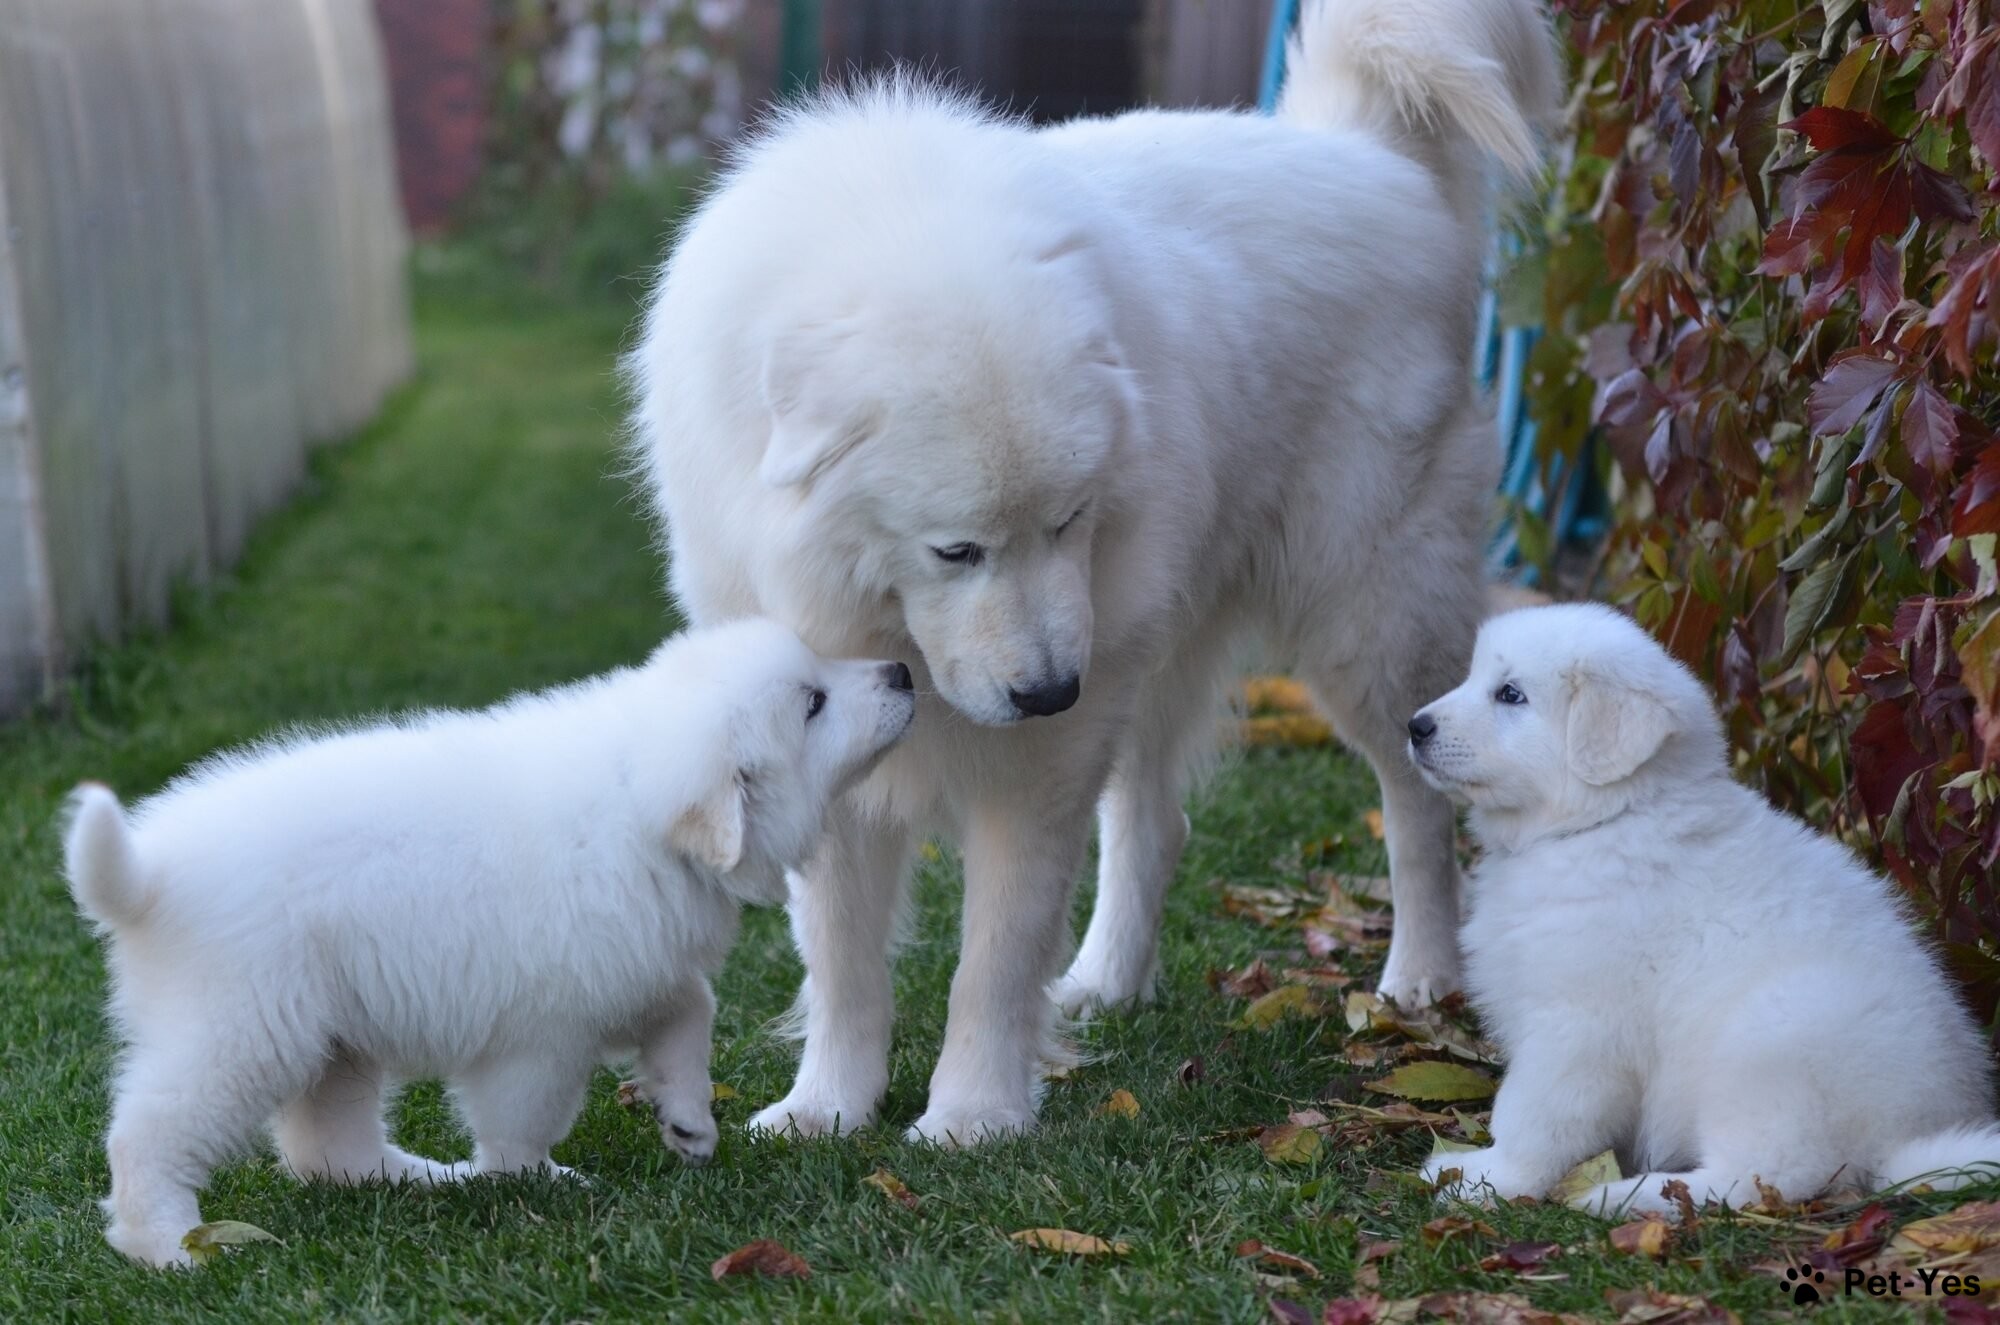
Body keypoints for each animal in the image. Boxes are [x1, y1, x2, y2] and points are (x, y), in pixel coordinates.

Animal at [64, 616, 916, 1272]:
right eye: (813, 704)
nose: (905, 670)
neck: (635, 797)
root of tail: (150, 873)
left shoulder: (633, 964)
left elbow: (688, 1010)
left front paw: (687, 1118)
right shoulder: (541, 1034)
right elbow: (525, 1118)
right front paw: (537, 1178)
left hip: (331, 1036)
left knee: (325, 1145)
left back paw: (419, 1177)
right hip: (241, 1027)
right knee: (148, 1131)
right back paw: (168, 1243)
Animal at [632, 0, 1568, 1144]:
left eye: (1068, 520)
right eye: (957, 549)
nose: (1047, 691)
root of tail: (1368, 154)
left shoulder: (1040, 763)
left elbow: (992, 957)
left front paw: (970, 1116)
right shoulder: (837, 738)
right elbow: (845, 958)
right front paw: (826, 1107)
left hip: (1359, 627)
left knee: (1419, 804)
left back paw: (1421, 983)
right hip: (1149, 655)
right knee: (1156, 825)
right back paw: (1107, 984)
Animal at [1408, 608, 2000, 1216]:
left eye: (1511, 694)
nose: (1415, 726)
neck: (1608, 820)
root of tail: (1900, 1145)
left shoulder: (1575, 1026)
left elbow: (1531, 1115)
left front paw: (1486, 1179)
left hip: (1766, 1043)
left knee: (1770, 1175)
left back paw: (1627, 1196)